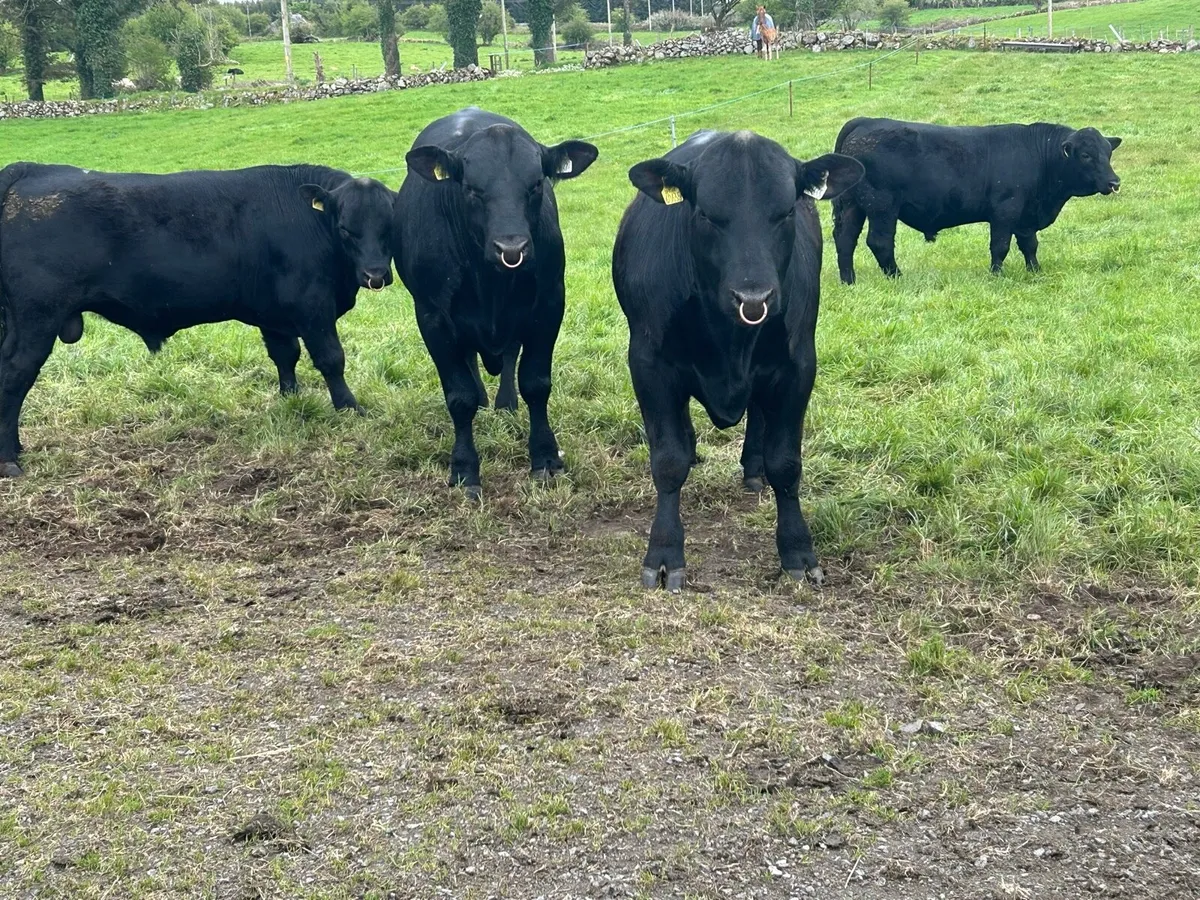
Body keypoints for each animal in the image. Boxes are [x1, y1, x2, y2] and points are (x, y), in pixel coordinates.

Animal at [0, 162, 396, 478]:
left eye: (388, 228)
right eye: (345, 228)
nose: (375, 274)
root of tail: (32, 169)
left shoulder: (274, 315)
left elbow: (285, 357)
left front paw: (291, 400)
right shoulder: (313, 307)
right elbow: (331, 359)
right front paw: (350, 409)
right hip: (38, 317)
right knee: (15, 375)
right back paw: (9, 459)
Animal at [393, 107, 598, 499]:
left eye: (536, 185)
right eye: (472, 189)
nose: (511, 248)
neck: (489, 284)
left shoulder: (548, 306)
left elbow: (536, 383)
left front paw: (545, 458)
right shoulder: (432, 316)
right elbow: (459, 396)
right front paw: (464, 469)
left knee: (507, 356)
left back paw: (505, 404)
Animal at [611, 130, 863, 592]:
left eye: (786, 212)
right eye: (707, 215)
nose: (754, 297)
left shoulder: (798, 366)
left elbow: (787, 463)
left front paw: (797, 550)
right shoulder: (649, 364)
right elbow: (668, 461)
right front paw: (664, 553)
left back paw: (753, 467)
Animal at [831, 117, 1122, 282]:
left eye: (1108, 153)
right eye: (1085, 155)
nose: (1114, 182)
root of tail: (865, 121)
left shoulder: (1026, 216)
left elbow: (1030, 245)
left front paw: (1035, 271)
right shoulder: (1005, 211)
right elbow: (1000, 246)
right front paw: (997, 275)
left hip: (853, 206)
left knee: (845, 240)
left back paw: (849, 280)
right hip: (882, 206)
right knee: (879, 242)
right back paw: (896, 277)